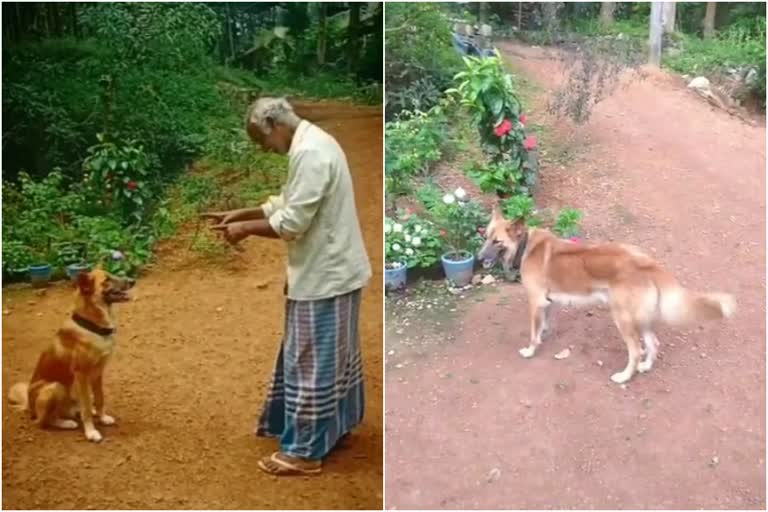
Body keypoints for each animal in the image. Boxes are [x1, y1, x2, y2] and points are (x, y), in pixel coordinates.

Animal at [7, 270, 135, 442]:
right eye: (106, 280)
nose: (133, 281)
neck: (91, 325)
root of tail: (29, 405)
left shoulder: (97, 373)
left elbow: (99, 398)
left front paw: (102, 417)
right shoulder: (81, 374)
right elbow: (86, 407)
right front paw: (91, 432)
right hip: (55, 387)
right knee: (43, 422)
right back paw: (66, 423)